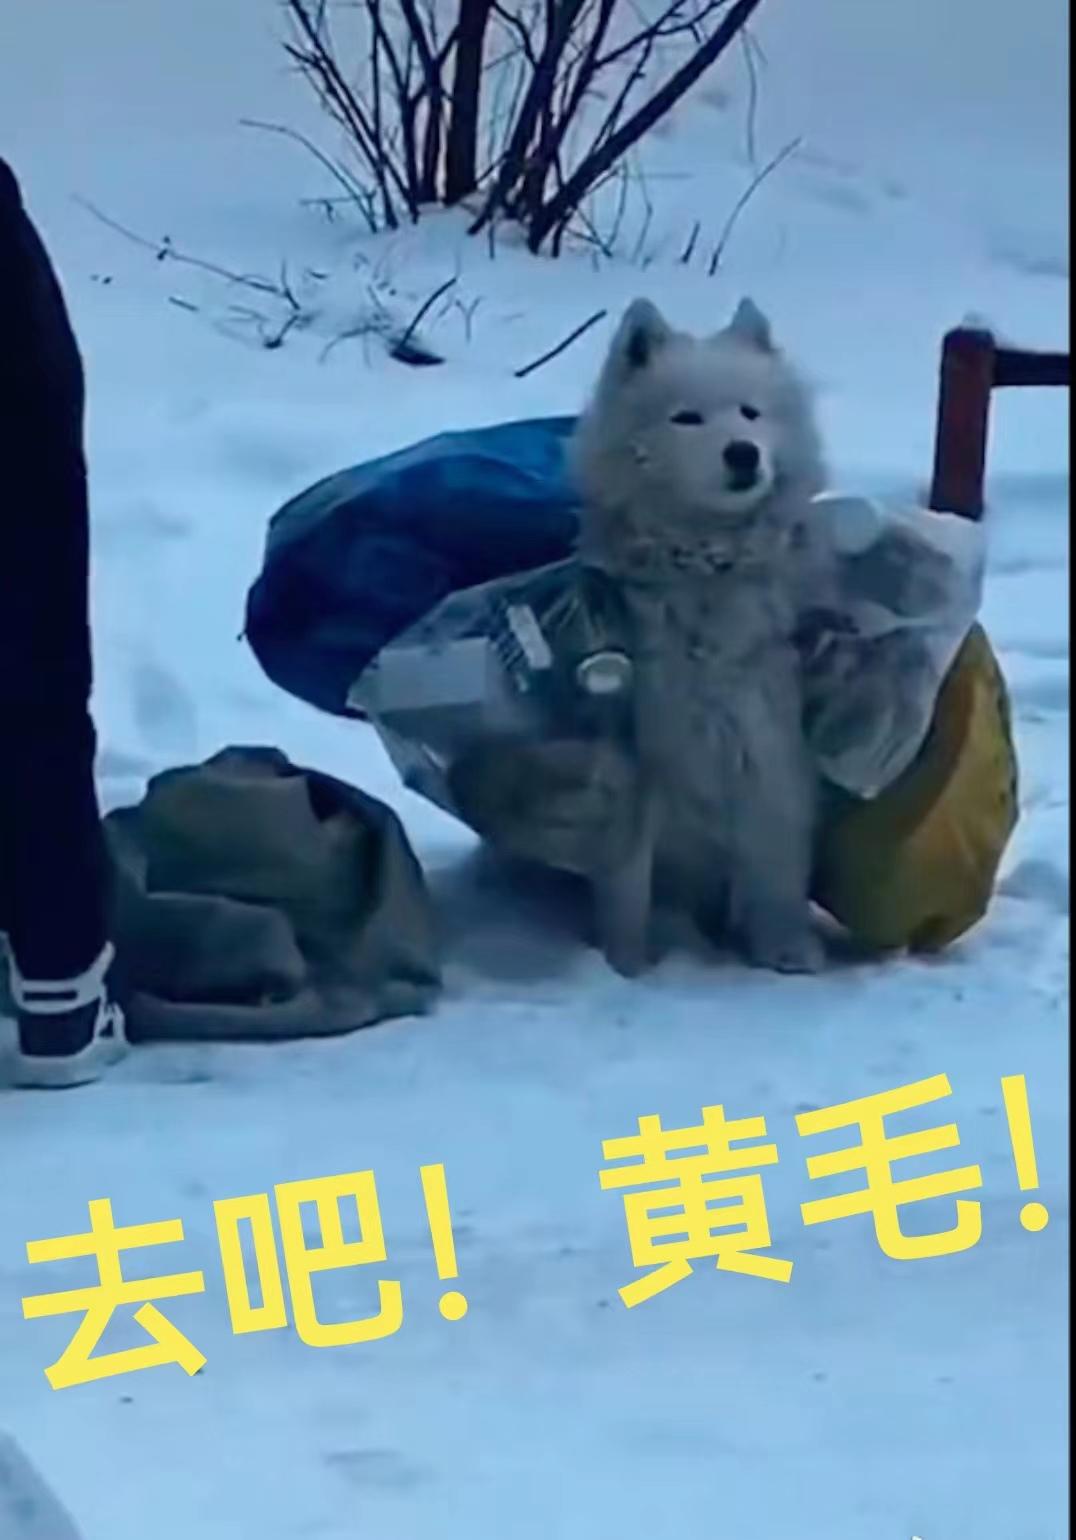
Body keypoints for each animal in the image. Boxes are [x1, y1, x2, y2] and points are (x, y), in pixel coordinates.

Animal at [570, 295, 828, 976]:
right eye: (686, 418)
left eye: (750, 412)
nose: (743, 453)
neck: (706, 565)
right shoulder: (642, 756)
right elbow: (627, 882)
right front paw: (625, 965)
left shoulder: (767, 739)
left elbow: (778, 861)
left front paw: (786, 949)